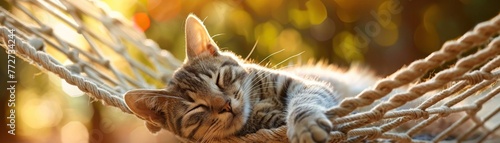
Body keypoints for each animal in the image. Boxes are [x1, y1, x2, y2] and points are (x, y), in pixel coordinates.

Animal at [123, 13, 474, 142]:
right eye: (196, 108)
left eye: (220, 78)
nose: (225, 104)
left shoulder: (303, 85)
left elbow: (304, 103)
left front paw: (304, 123)